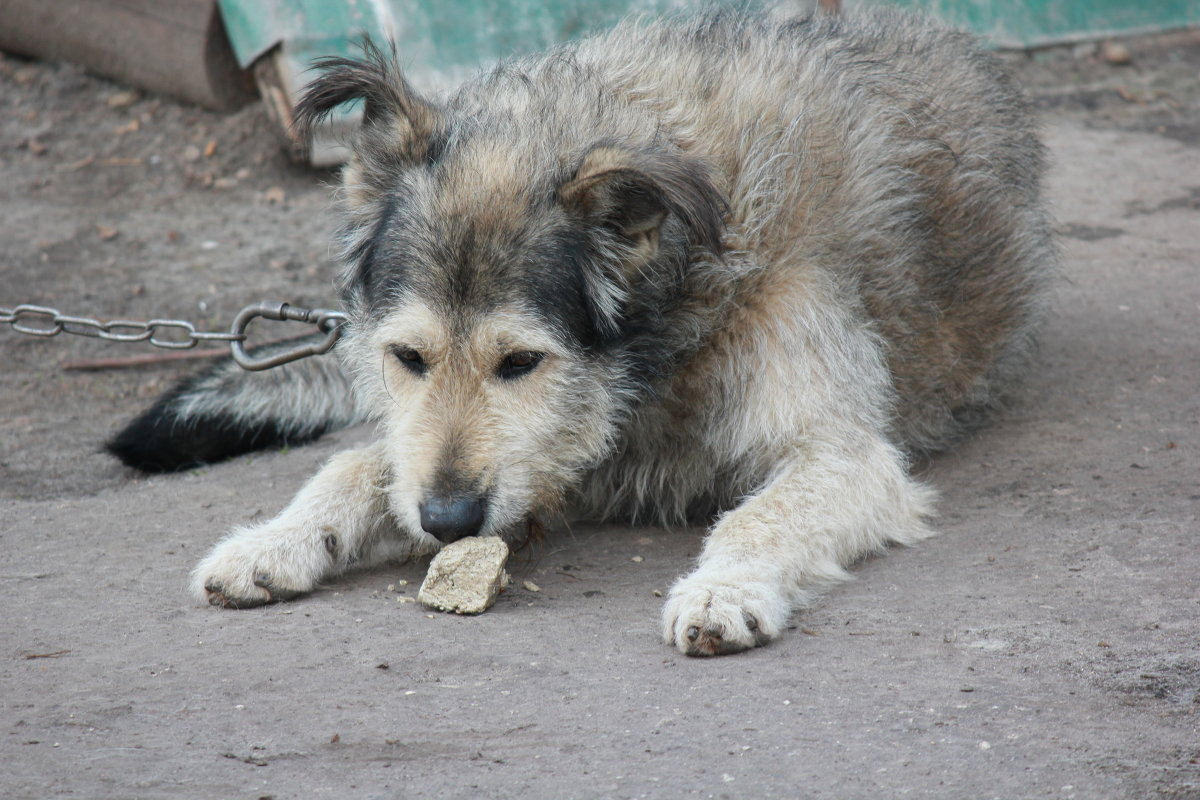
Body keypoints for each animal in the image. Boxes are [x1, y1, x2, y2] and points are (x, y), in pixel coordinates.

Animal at [108, 7, 1056, 657]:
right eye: (409, 357)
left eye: (522, 361)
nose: (447, 522)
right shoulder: (533, 460)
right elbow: (357, 465)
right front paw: (273, 541)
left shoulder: (842, 454)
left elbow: (760, 516)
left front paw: (722, 588)